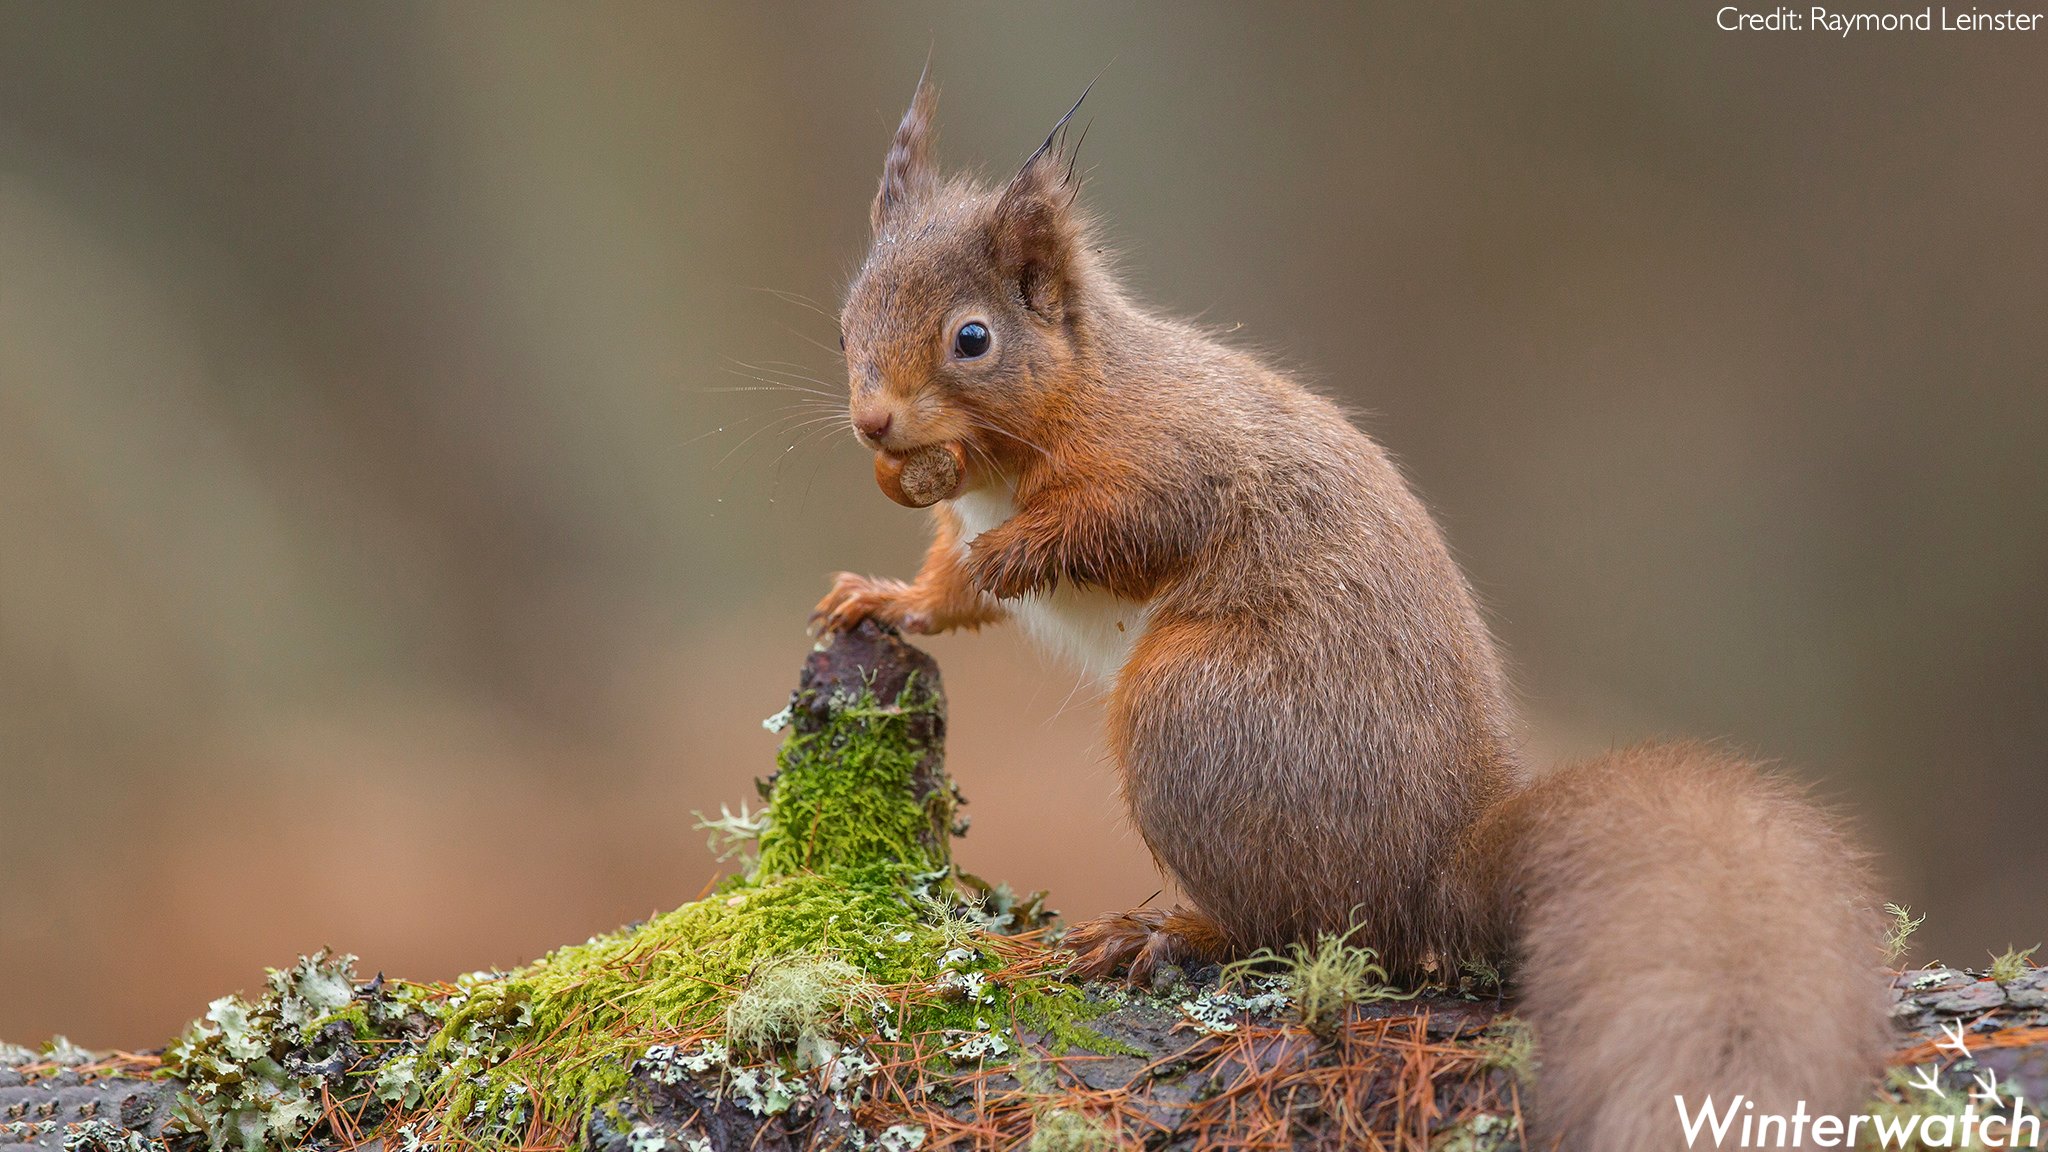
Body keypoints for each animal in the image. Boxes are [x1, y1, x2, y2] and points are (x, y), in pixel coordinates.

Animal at [811, 76, 1892, 1151]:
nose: (871, 424)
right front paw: (884, 597)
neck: (1049, 417)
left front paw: (1011, 553)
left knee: (1303, 927)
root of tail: (1435, 867)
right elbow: (947, 591)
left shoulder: (1170, 458)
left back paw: (1163, 933)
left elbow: (1127, 526)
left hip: (1195, 714)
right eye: (843, 326)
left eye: (972, 339)